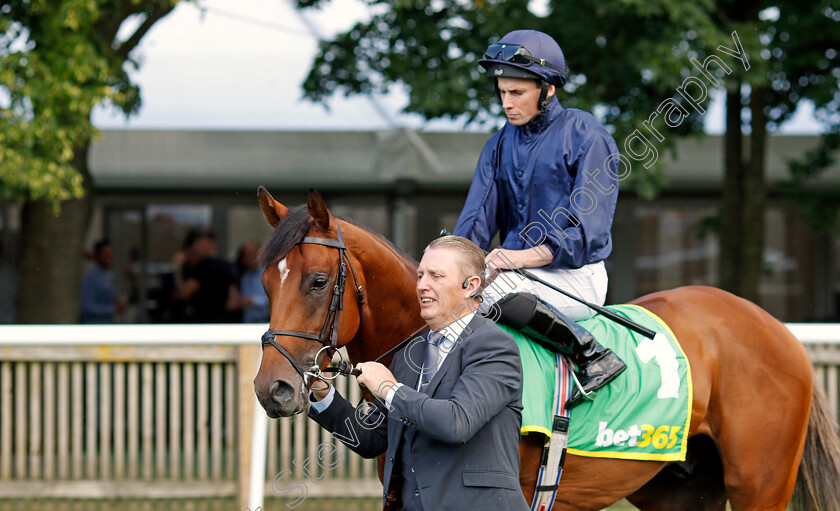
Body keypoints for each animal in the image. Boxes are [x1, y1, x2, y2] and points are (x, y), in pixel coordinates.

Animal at [253, 190, 840, 511]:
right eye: (264, 281)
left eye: (317, 281)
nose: (272, 389)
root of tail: (774, 328)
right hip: (679, 490)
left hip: (760, 486)